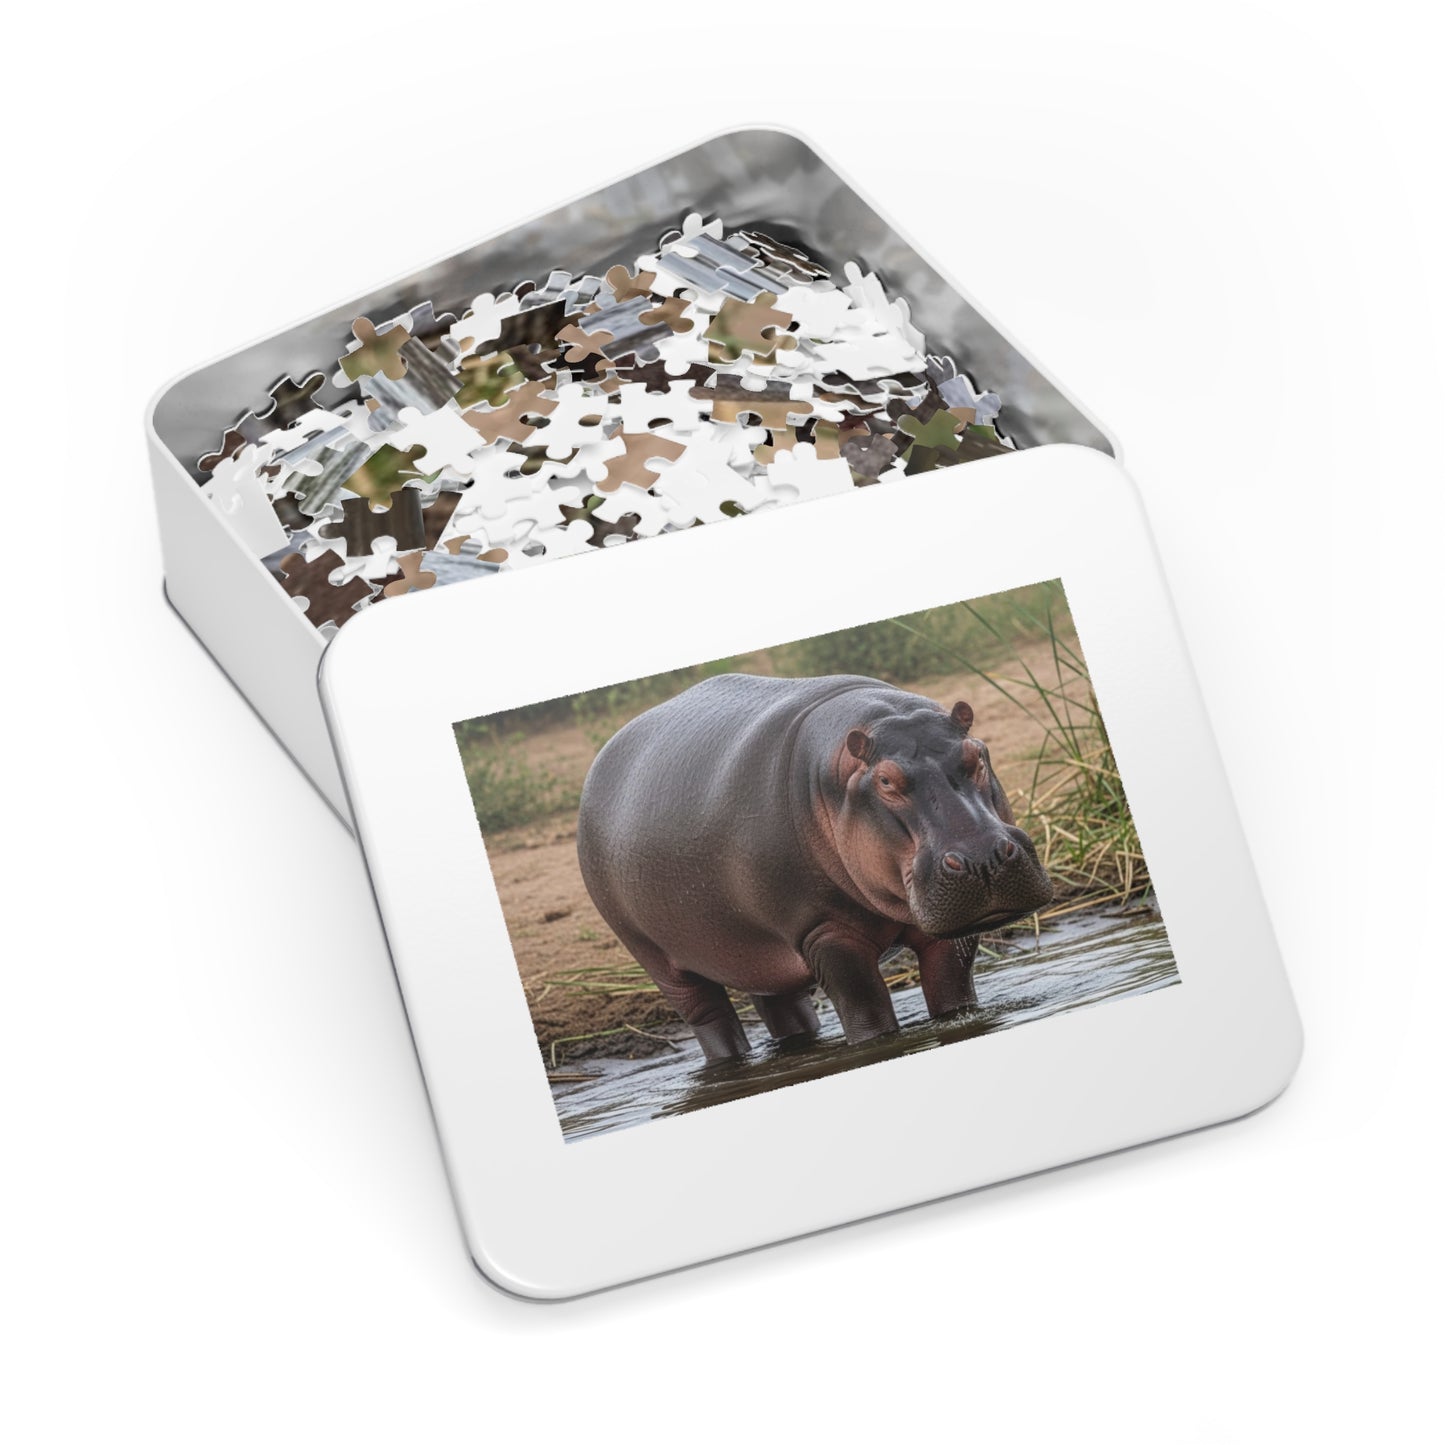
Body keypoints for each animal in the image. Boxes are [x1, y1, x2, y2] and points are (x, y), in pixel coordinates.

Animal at [575, 673, 1053, 1061]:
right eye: (885, 781)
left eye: (977, 754)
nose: (982, 857)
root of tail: (597, 766)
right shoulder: (822, 930)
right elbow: (866, 1008)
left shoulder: (950, 928)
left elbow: (952, 990)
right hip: (659, 961)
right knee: (709, 1018)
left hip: (758, 949)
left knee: (781, 1004)